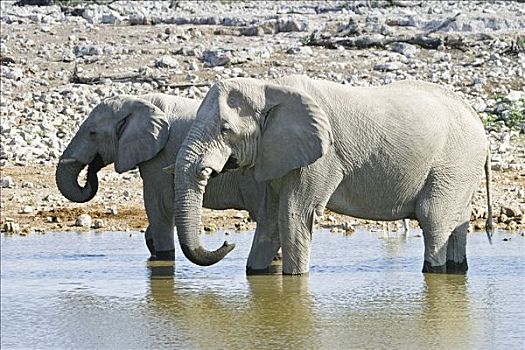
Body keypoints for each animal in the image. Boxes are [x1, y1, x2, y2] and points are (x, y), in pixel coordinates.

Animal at [55, 93, 264, 260]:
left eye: (92, 133)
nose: (92, 170)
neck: (140, 102)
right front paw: (152, 245)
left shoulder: (159, 156)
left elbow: (159, 205)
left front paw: (163, 256)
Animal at [173, 75, 492, 274]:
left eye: (225, 129)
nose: (228, 243)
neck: (270, 87)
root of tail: (477, 119)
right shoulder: (278, 153)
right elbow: (271, 219)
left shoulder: (322, 158)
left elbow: (292, 216)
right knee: (456, 223)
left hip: (454, 162)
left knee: (433, 218)